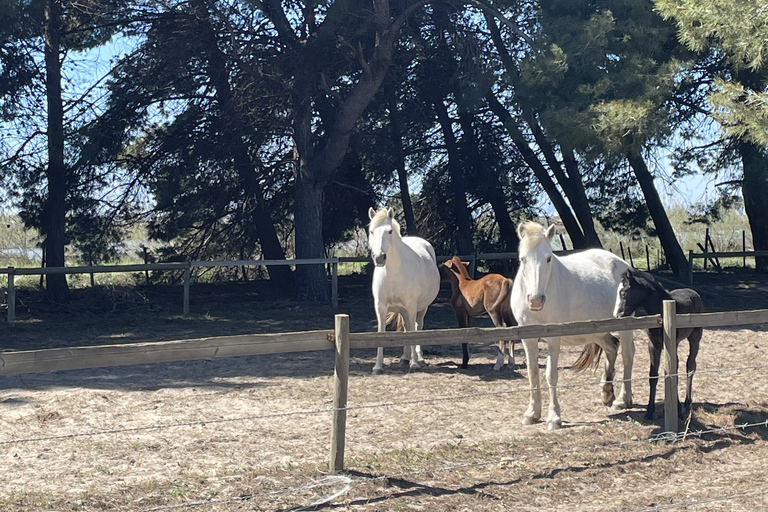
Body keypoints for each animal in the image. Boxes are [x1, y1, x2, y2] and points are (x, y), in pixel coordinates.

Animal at [368, 207, 440, 372]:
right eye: (371, 231)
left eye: (389, 231)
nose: (379, 257)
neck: (393, 273)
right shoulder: (380, 307)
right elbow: (381, 332)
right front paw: (377, 366)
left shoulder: (411, 306)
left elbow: (413, 331)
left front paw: (414, 363)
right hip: (403, 310)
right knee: (407, 327)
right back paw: (404, 358)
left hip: (421, 308)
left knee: (417, 326)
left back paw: (418, 358)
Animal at [510, 222, 636, 430]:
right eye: (523, 259)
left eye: (548, 258)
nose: (535, 300)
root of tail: (623, 264)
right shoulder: (528, 338)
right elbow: (533, 373)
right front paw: (532, 414)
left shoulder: (553, 338)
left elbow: (550, 375)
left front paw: (554, 418)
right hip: (597, 331)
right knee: (612, 347)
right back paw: (606, 392)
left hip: (625, 326)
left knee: (627, 355)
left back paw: (623, 399)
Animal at [612, 268, 704, 420]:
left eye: (623, 293)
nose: (617, 316)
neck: (660, 312)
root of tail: (693, 291)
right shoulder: (653, 345)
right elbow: (653, 376)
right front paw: (650, 410)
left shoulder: (671, 344)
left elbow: (674, 373)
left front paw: (678, 410)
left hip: (695, 337)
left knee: (690, 365)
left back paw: (687, 403)